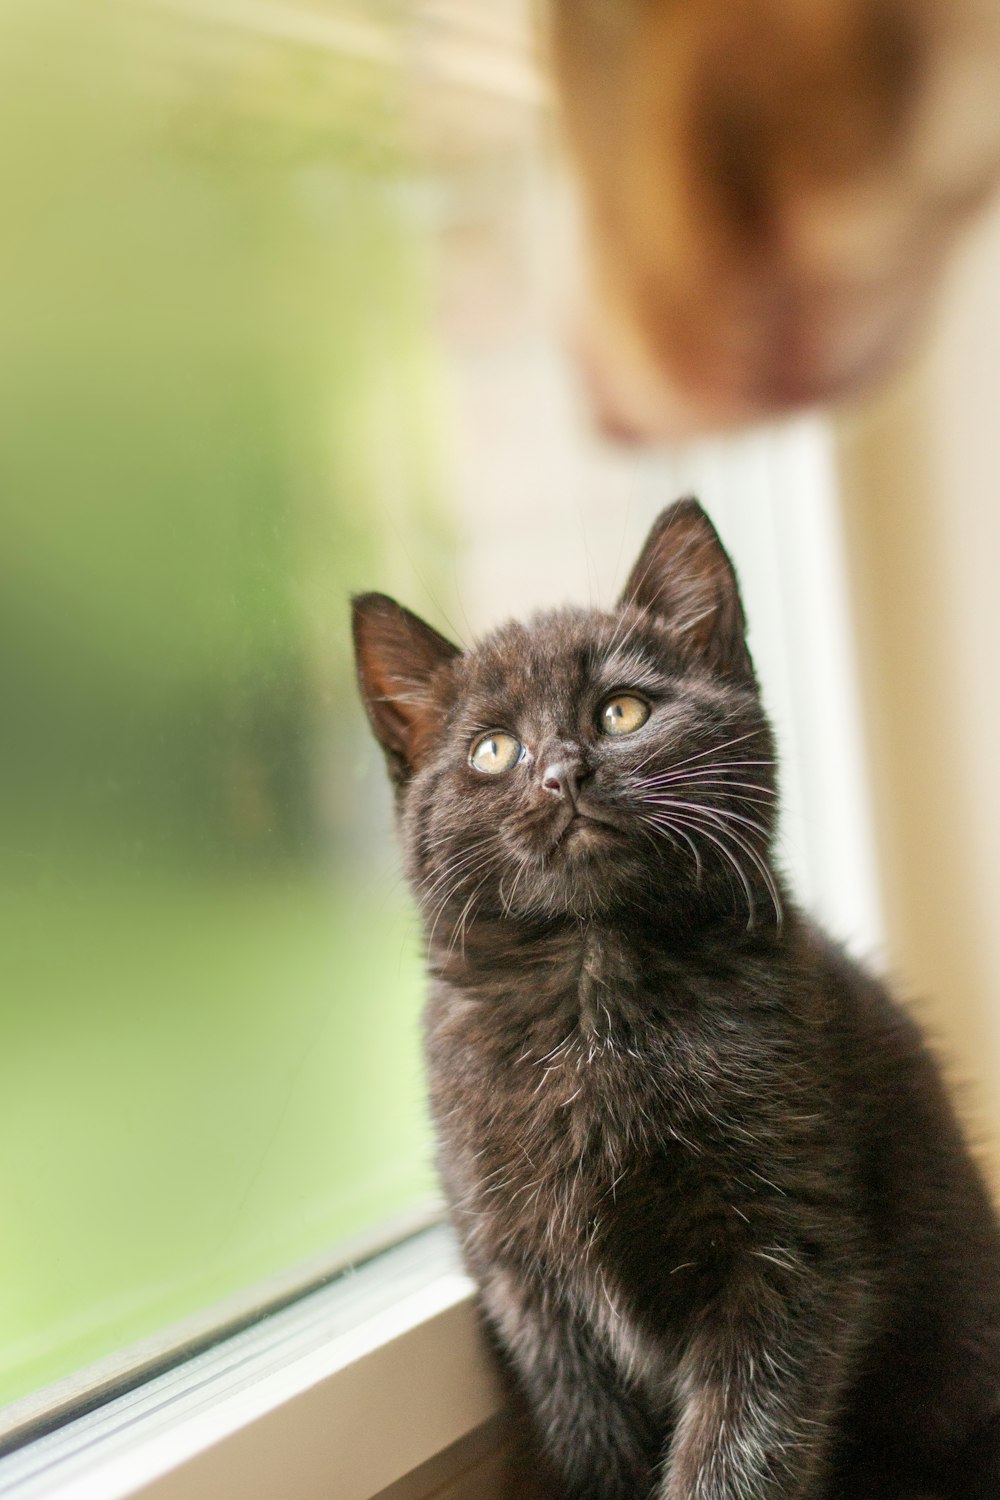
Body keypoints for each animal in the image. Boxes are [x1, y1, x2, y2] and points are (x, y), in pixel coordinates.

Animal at [350, 504, 1000, 1500]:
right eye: (494, 749)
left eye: (623, 711)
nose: (563, 772)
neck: (595, 998)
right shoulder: (529, 1285)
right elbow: (588, 1436)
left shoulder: (790, 1249)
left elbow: (740, 1446)